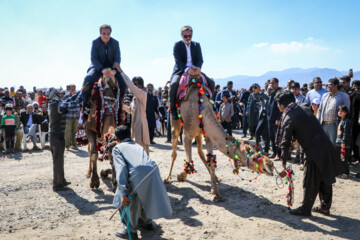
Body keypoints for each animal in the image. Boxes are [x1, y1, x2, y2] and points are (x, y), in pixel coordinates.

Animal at [165, 74, 274, 202]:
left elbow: (211, 162)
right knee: (174, 150)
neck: (201, 109)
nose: (270, 165)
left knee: (200, 152)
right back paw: (168, 178)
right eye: (253, 157)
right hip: (175, 121)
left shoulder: (208, 135)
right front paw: (181, 176)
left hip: (198, 133)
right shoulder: (187, 135)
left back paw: (216, 177)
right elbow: (189, 160)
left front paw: (216, 193)